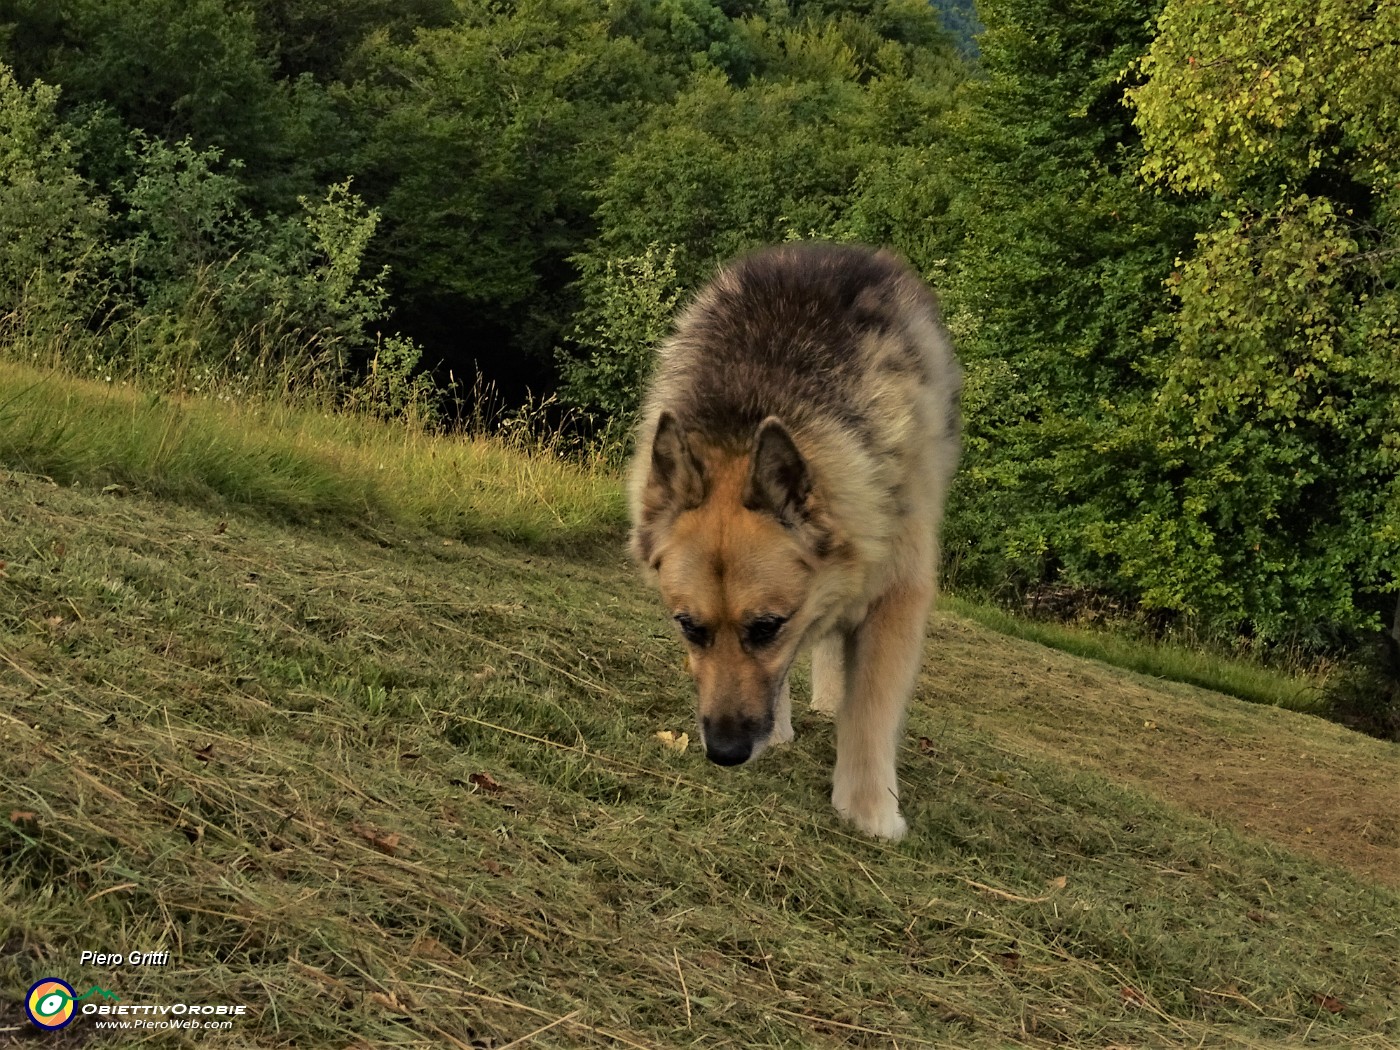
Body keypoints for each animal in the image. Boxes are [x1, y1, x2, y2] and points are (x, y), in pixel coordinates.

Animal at [627, 242, 963, 845]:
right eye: (689, 627)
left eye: (767, 627)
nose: (725, 753)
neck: (749, 413)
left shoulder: (896, 592)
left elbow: (871, 704)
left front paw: (868, 808)